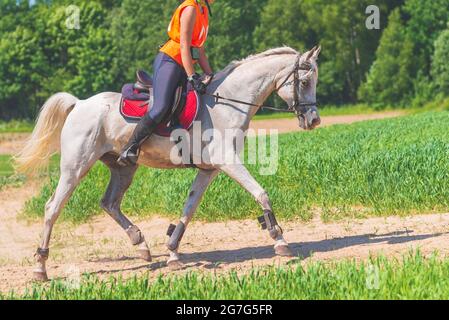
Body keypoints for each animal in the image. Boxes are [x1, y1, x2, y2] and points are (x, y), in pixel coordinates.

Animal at [15, 45, 320, 280]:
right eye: (305, 82)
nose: (314, 120)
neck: (228, 102)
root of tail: (79, 104)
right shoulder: (228, 162)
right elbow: (261, 193)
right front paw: (280, 239)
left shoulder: (209, 170)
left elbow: (189, 208)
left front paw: (173, 252)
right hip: (75, 167)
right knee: (52, 208)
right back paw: (40, 268)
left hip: (123, 167)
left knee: (109, 203)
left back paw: (141, 244)